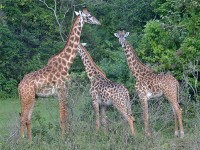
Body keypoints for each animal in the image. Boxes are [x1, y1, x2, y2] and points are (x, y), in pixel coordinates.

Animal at [18, 6, 101, 141]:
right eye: (89, 16)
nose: (99, 22)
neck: (66, 64)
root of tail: (19, 86)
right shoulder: (61, 91)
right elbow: (62, 118)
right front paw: (63, 139)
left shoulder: (65, 92)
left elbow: (65, 117)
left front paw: (66, 137)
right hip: (27, 97)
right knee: (22, 118)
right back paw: (22, 142)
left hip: (33, 97)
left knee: (28, 119)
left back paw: (30, 142)